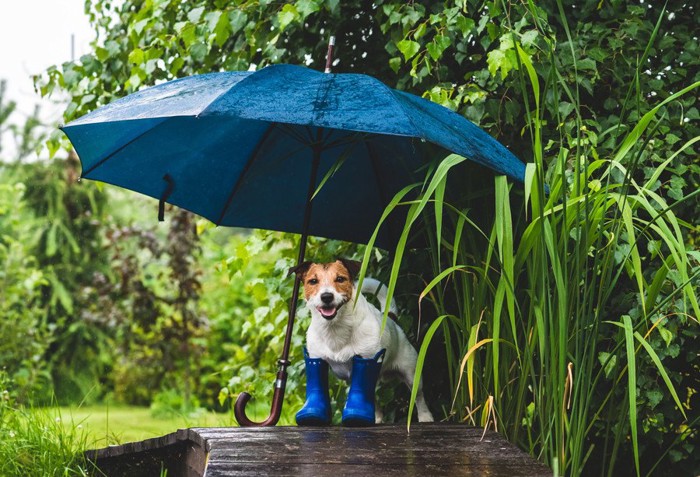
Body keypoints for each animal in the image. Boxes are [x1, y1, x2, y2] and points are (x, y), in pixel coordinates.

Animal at [288, 258, 432, 422]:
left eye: (340, 279)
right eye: (313, 281)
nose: (326, 296)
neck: (335, 328)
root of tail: (391, 318)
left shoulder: (368, 358)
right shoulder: (316, 358)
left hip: (412, 373)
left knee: (418, 396)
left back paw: (425, 416)